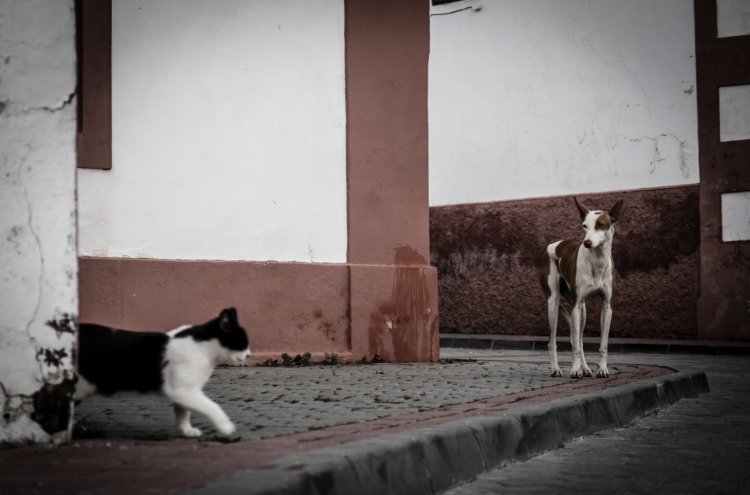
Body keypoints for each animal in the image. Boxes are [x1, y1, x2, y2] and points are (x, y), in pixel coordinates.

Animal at [77, 308, 253, 440]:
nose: (249, 355)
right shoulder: (184, 390)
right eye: (243, 343)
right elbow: (212, 406)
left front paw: (187, 431)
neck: (205, 349)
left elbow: (182, 413)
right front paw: (226, 427)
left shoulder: (182, 391)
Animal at [540, 198, 624, 380]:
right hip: (554, 303)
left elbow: (602, 345)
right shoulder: (575, 306)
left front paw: (602, 369)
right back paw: (556, 369)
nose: (587, 243)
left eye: (600, 224)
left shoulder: (606, 306)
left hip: (583, 311)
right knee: (552, 341)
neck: (597, 261)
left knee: (579, 339)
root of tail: (553, 245)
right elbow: (575, 348)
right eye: (584, 225)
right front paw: (575, 370)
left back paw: (585, 368)